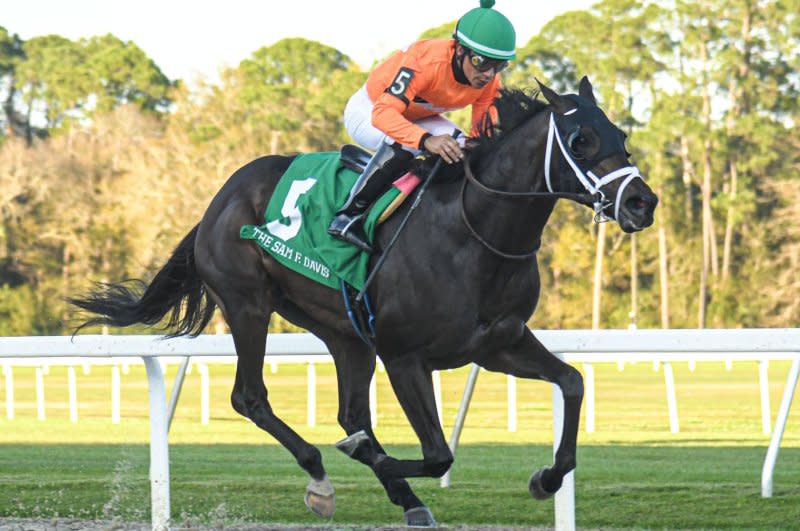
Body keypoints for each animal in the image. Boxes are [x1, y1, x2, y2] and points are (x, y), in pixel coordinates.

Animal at [70, 78, 656, 528]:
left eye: (621, 135)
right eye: (580, 139)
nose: (641, 202)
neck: (474, 231)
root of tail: (219, 199)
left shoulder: (497, 344)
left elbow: (572, 383)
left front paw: (546, 478)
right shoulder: (405, 357)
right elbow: (437, 453)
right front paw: (374, 461)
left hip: (344, 331)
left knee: (350, 411)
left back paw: (394, 489)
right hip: (249, 304)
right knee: (250, 397)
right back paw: (323, 475)